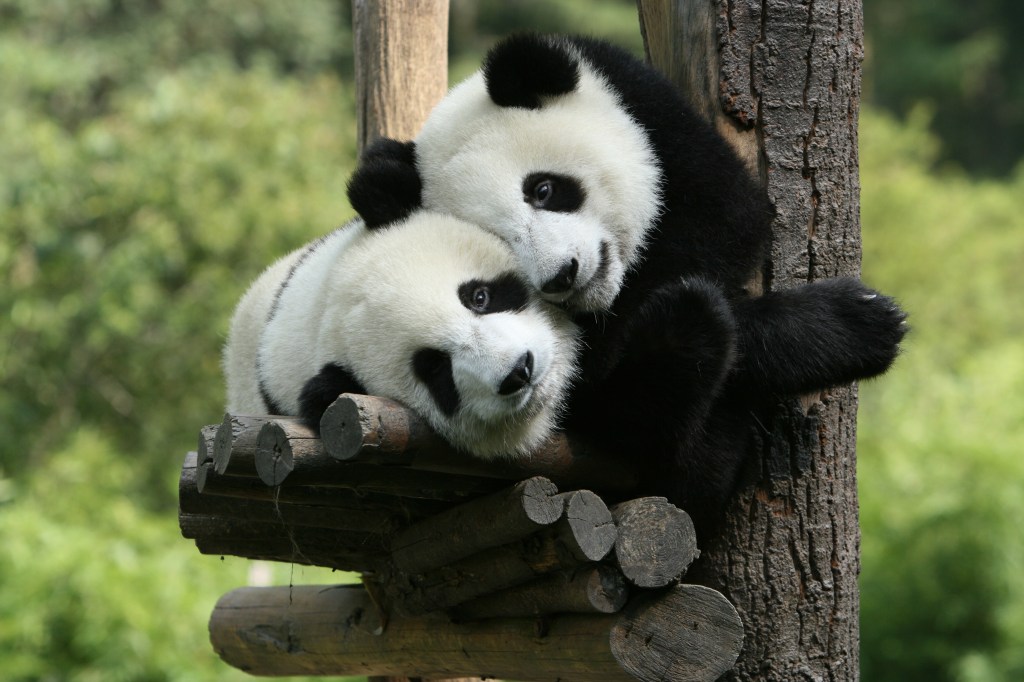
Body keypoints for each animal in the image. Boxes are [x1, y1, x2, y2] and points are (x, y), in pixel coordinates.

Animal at [350, 35, 905, 536]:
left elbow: (728, 219)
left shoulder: (653, 117)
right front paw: (854, 325)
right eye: (500, 241)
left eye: (543, 189)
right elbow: (607, 383)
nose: (562, 275)